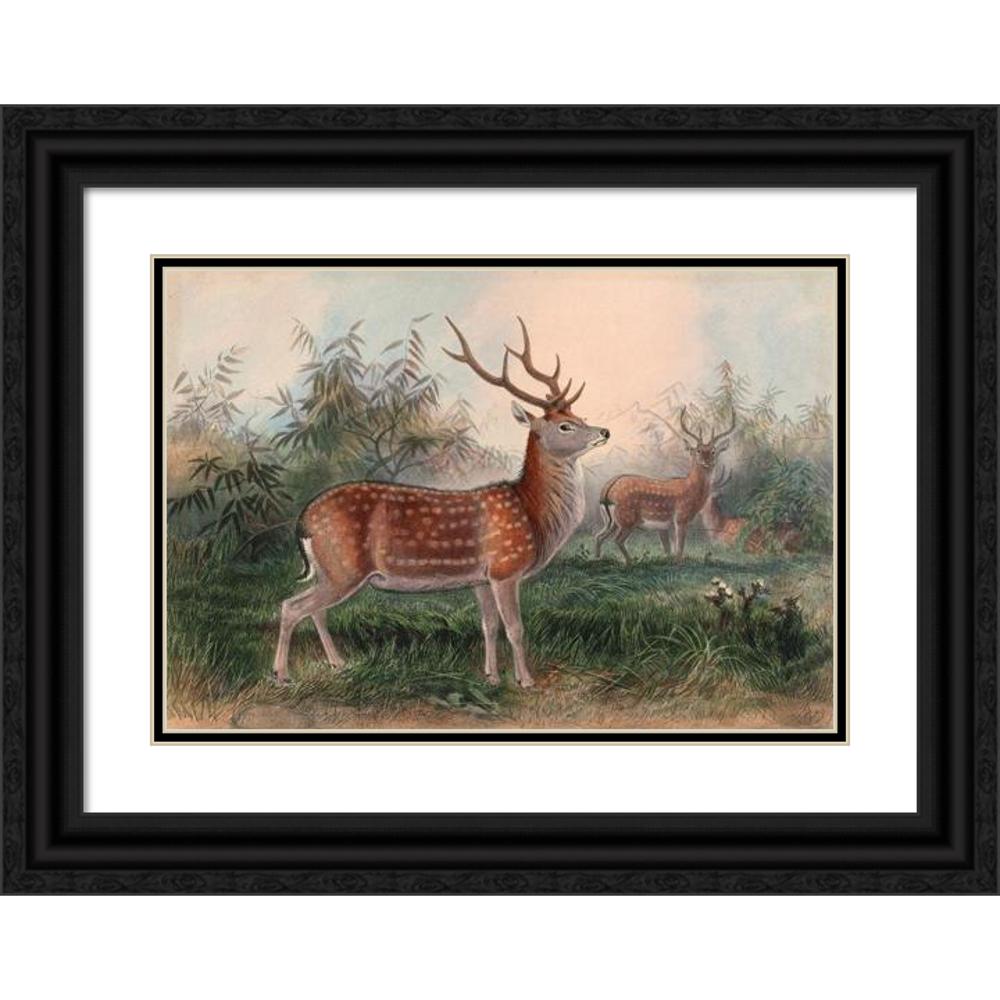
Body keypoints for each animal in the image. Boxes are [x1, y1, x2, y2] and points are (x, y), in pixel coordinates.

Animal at [271, 317, 610, 689]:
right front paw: (525, 681)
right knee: (291, 606)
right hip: (343, 567)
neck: (532, 513)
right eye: (565, 426)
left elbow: (489, 625)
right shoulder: (505, 568)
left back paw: (338, 663)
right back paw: (281, 674)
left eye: (580, 417)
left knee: (314, 610)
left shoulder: (480, 578)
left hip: (329, 570)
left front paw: (491, 676)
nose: (604, 432)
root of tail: (303, 520)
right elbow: (515, 628)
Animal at [594, 406, 735, 562]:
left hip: (610, 521)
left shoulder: (667, 526)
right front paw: (678, 562)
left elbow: (670, 549)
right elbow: (679, 549)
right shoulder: (681, 517)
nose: (707, 462)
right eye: (698, 451)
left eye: (713, 451)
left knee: (598, 536)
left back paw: (598, 558)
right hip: (627, 518)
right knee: (617, 540)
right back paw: (630, 562)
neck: (691, 489)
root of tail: (607, 492)